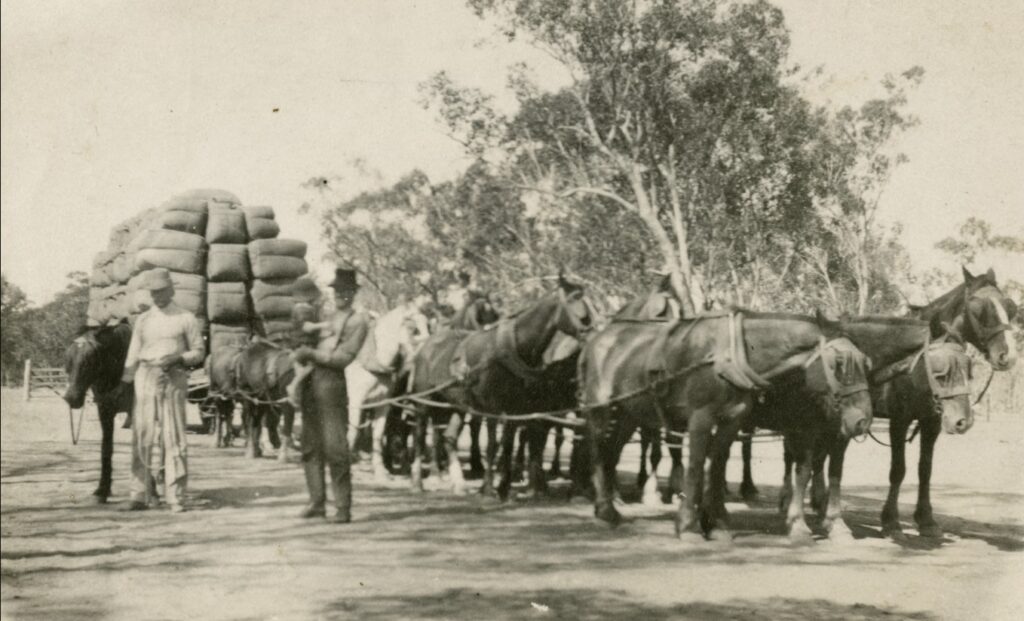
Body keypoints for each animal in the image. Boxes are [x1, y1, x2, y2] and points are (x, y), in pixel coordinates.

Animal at [61, 323, 133, 504]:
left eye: (89, 360)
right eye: (68, 359)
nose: (71, 398)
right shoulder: (105, 411)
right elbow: (106, 449)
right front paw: (102, 490)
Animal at [399, 276, 593, 495]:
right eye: (572, 301)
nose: (589, 330)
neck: (513, 349)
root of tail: (425, 347)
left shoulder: (516, 409)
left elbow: (507, 443)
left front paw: (504, 487)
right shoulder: (492, 408)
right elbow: (493, 444)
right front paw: (489, 488)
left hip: (456, 405)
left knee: (449, 437)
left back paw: (459, 483)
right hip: (424, 402)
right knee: (419, 434)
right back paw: (417, 481)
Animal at [581, 311, 868, 541]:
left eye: (866, 362)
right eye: (838, 363)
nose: (862, 420)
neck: (731, 357)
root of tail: (597, 338)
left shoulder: (733, 421)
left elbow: (718, 465)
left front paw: (716, 524)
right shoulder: (701, 419)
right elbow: (696, 466)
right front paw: (688, 526)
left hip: (628, 414)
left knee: (611, 453)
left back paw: (609, 509)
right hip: (601, 411)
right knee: (597, 450)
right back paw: (604, 510)